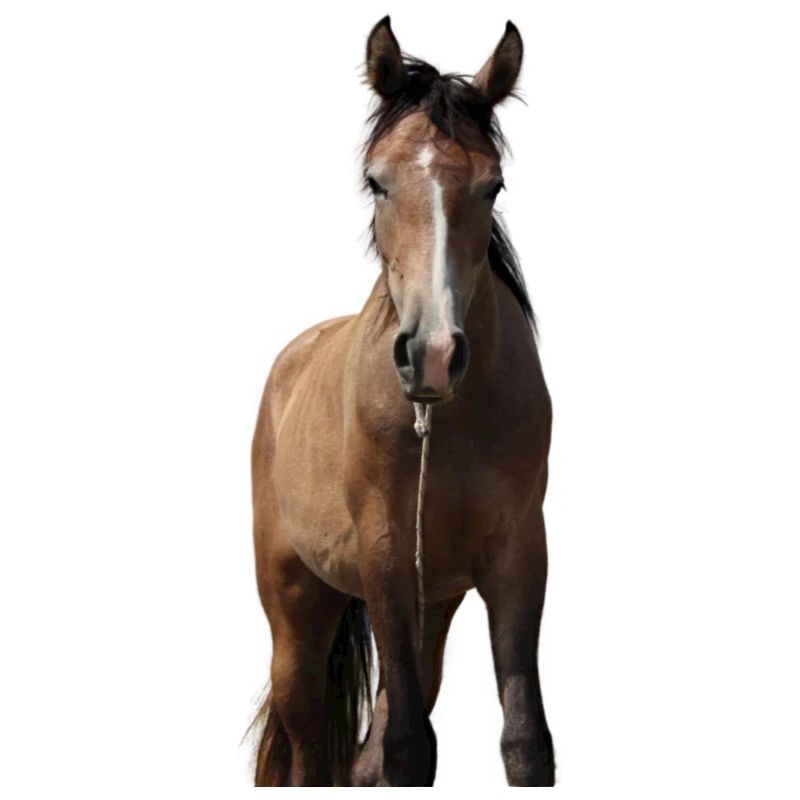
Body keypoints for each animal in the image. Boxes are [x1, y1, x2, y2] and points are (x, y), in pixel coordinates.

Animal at [250, 16, 554, 786]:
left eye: (493, 185)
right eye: (375, 181)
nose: (434, 354)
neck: (448, 423)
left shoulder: (518, 557)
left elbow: (523, 741)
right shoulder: (383, 557)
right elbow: (409, 749)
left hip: (432, 605)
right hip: (296, 609)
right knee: (309, 747)